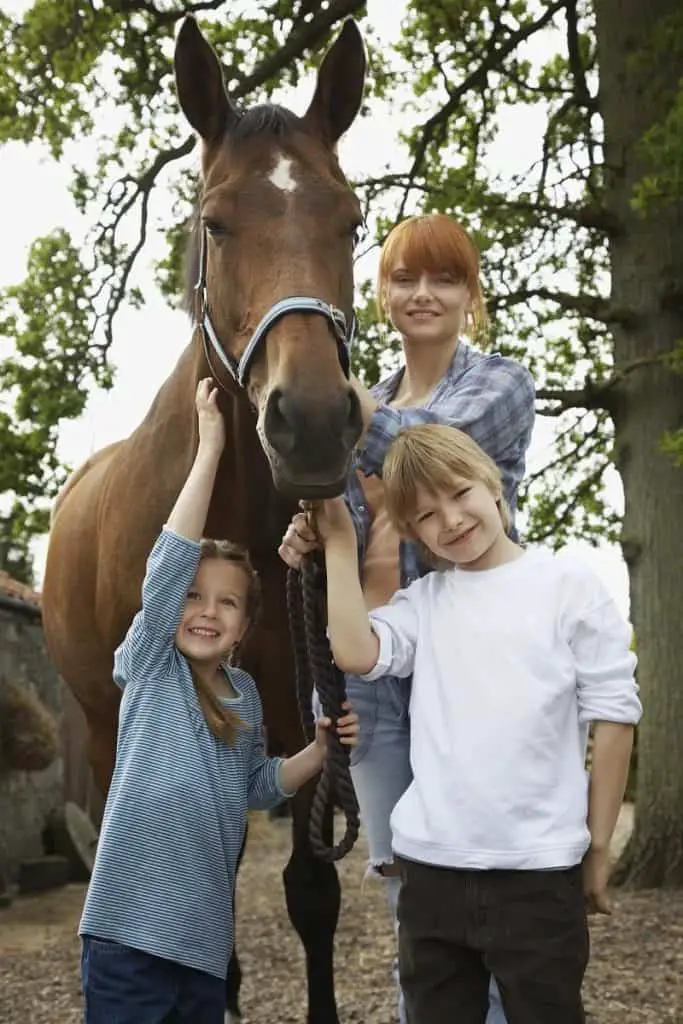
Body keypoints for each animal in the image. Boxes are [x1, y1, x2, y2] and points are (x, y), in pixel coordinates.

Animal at [40, 16, 366, 1024]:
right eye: (215, 223)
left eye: (351, 221)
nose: (311, 421)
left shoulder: (298, 720)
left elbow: (311, 891)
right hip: (101, 723)